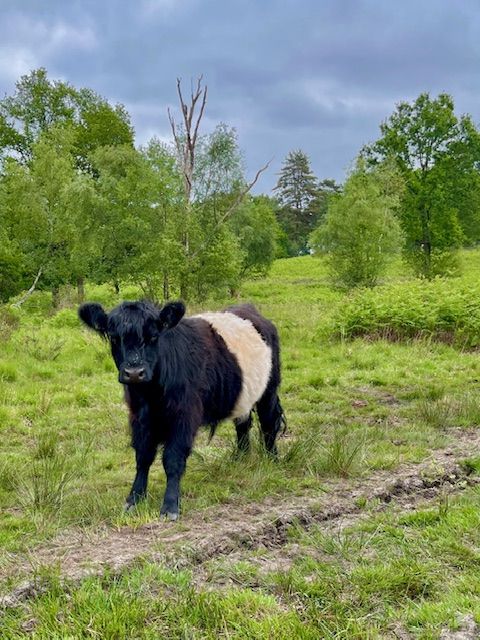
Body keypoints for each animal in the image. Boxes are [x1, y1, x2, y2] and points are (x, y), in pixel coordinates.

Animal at [78, 300, 285, 520]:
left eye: (154, 336)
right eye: (115, 338)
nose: (134, 373)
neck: (151, 395)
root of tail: (248, 308)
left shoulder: (184, 417)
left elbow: (173, 459)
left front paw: (170, 506)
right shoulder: (139, 418)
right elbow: (142, 457)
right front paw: (134, 499)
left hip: (269, 390)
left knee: (269, 424)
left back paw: (272, 460)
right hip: (242, 396)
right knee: (243, 425)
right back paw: (241, 459)